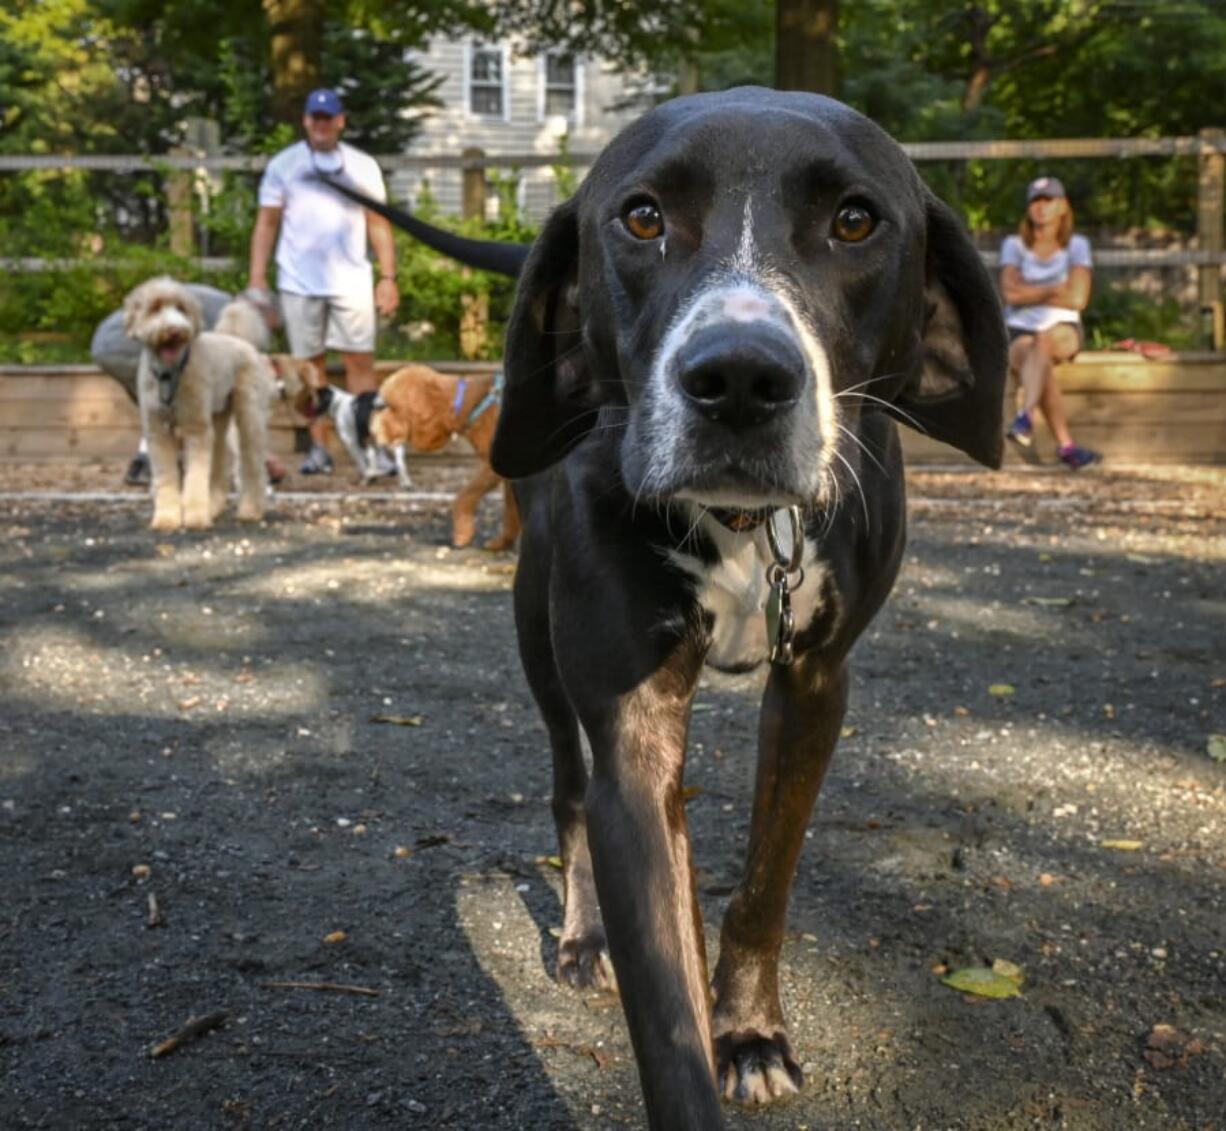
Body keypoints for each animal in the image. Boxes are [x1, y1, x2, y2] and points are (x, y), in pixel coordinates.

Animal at [123, 276, 275, 529]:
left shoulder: (195, 430)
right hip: (218, 419)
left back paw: (251, 510)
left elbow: (195, 478)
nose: (175, 330)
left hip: (249, 416)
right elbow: (166, 479)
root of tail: (238, 339)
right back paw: (214, 507)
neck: (170, 374)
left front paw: (195, 518)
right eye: (155, 308)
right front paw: (167, 518)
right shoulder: (158, 433)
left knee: (253, 466)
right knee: (220, 466)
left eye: (181, 308)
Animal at [377, 367, 522, 553]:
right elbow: (511, 508)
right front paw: (503, 542)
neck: (469, 405)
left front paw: (462, 535)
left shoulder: (492, 466)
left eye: (391, 407)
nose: (374, 429)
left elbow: (465, 496)